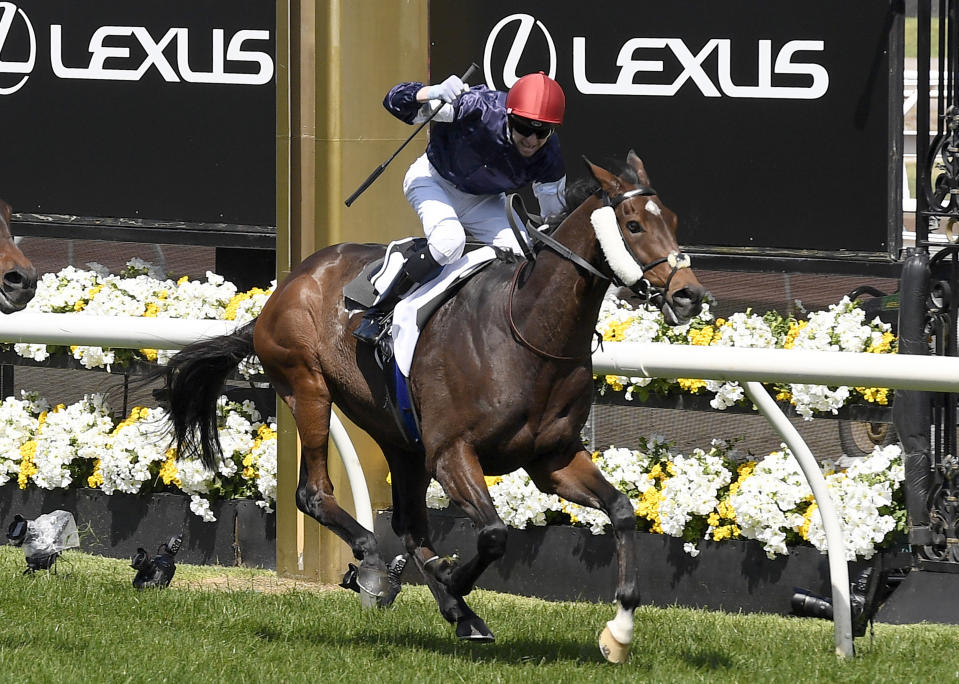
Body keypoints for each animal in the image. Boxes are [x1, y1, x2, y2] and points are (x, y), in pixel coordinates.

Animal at [159, 152, 704, 660]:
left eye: (674, 220)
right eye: (633, 224)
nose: (690, 295)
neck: (527, 331)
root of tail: (288, 284)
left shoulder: (553, 459)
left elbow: (622, 510)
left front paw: (620, 631)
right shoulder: (452, 452)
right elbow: (494, 533)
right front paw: (454, 577)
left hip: (400, 438)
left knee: (409, 524)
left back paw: (457, 611)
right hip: (309, 388)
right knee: (315, 494)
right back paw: (377, 567)